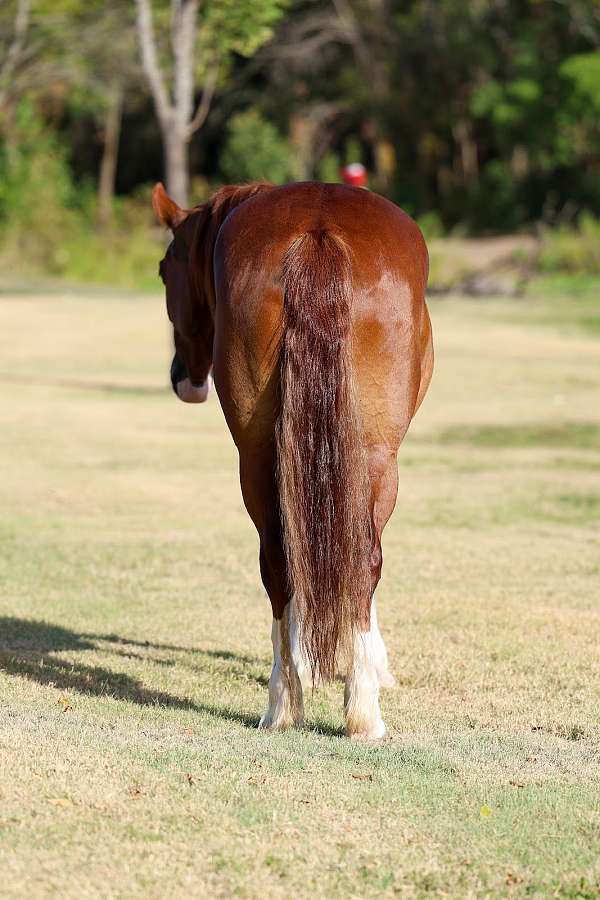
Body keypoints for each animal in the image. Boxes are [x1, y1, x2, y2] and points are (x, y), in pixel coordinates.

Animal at [152, 180, 433, 739]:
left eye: (163, 270)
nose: (183, 379)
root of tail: (315, 232)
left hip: (261, 457)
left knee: (283, 561)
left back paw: (291, 703)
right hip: (372, 457)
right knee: (358, 560)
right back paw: (348, 710)